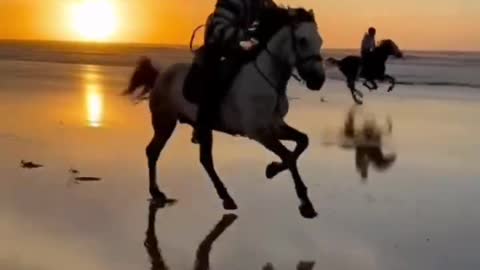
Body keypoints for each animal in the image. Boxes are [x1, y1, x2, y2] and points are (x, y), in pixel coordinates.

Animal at [124, 6, 326, 219]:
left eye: (320, 41)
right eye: (303, 40)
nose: (318, 81)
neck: (267, 80)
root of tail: (160, 74)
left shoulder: (275, 126)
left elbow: (302, 142)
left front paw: (272, 169)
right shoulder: (259, 133)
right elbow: (288, 156)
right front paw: (305, 202)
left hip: (202, 127)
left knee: (205, 160)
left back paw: (225, 197)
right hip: (165, 122)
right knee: (153, 152)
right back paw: (157, 192)